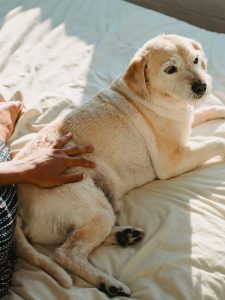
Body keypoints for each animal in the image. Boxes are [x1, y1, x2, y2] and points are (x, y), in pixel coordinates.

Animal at [14, 34, 225, 296]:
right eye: (170, 69)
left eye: (196, 60)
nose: (201, 86)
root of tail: (19, 201)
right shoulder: (174, 161)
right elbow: (216, 141)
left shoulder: (186, 120)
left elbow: (209, 110)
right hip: (96, 208)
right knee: (65, 253)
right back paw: (109, 283)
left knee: (72, 239)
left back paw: (125, 236)